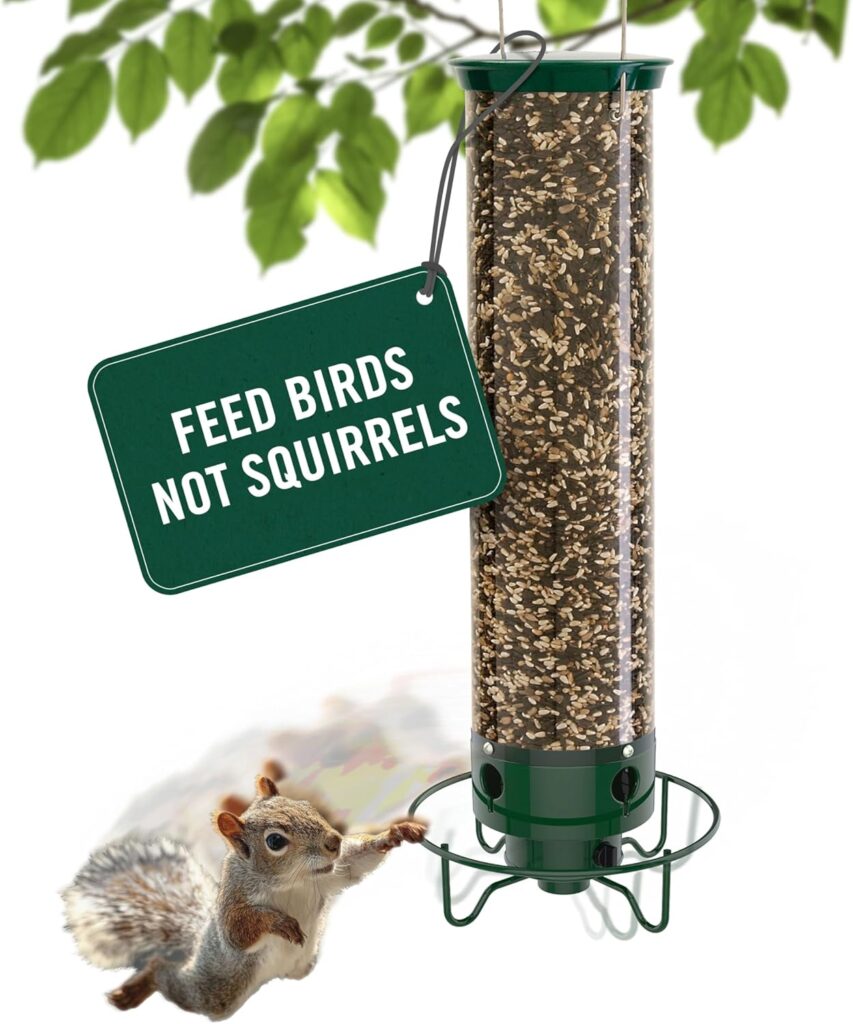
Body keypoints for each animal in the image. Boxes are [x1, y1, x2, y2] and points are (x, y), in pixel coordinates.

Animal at [64, 774, 427, 1019]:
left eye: (306, 806)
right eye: (276, 841)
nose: (334, 841)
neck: (292, 882)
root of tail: (196, 944)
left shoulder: (333, 874)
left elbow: (357, 863)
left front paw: (396, 832)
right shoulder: (234, 901)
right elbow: (238, 931)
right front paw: (280, 923)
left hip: (300, 967)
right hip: (218, 988)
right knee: (165, 972)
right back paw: (135, 988)